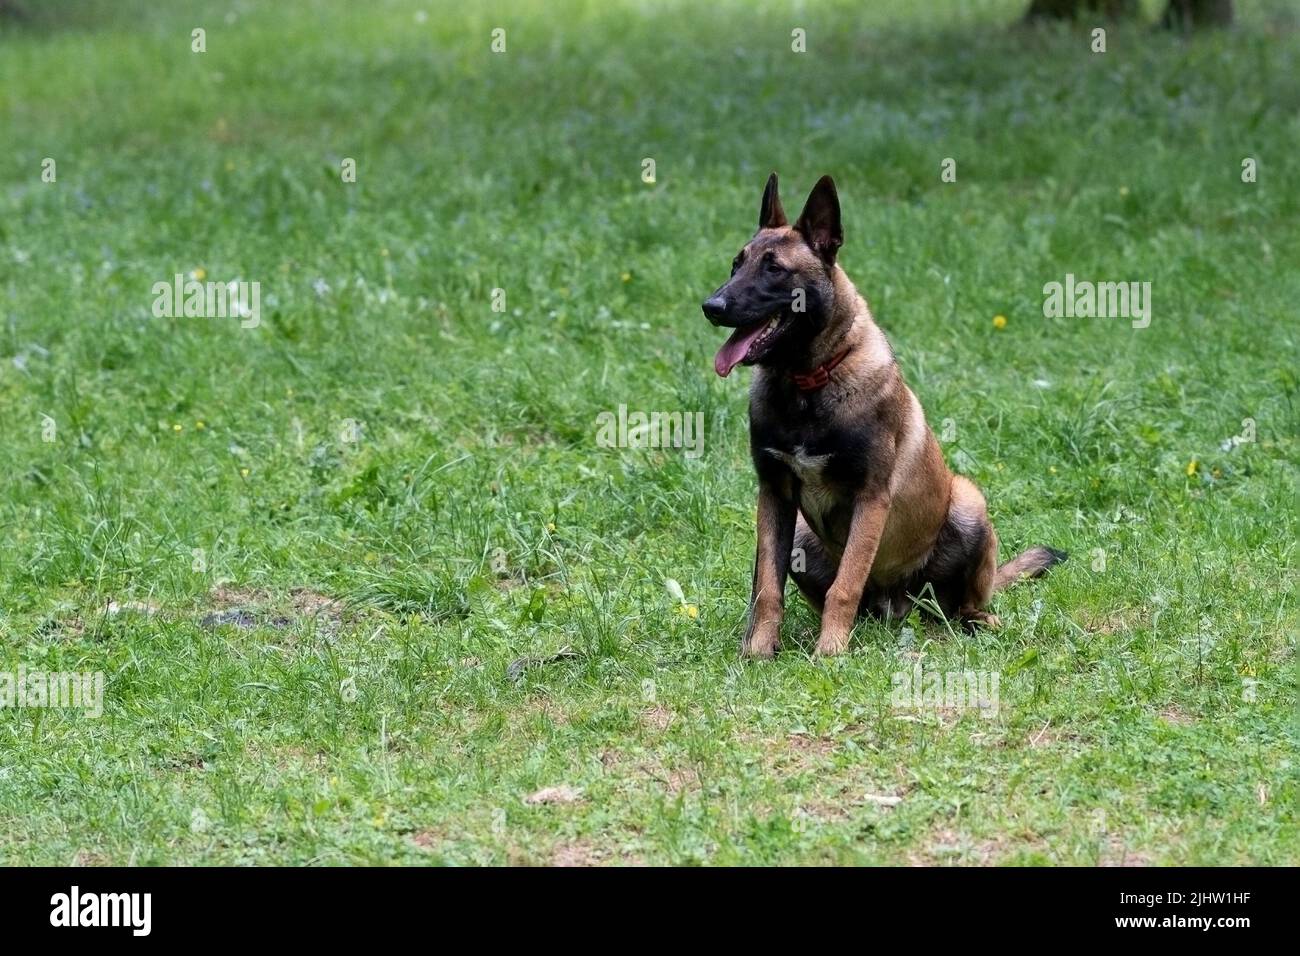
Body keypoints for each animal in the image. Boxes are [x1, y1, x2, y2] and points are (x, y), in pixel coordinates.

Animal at [707, 174, 1060, 658]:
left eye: (774, 269)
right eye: (735, 265)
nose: (712, 306)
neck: (808, 384)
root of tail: (898, 607)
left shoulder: (870, 497)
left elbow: (845, 586)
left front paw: (830, 652)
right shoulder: (774, 495)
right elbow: (767, 587)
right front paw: (759, 650)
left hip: (968, 503)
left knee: (960, 603)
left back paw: (977, 620)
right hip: (801, 534)